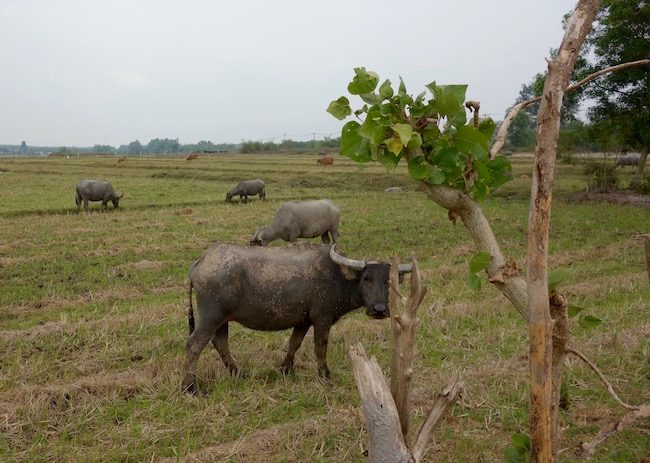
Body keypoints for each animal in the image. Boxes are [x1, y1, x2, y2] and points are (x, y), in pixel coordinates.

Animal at [180, 245, 410, 394]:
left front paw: (286, 369)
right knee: (194, 345)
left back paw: (237, 372)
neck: (337, 277)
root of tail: (200, 262)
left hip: (221, 320)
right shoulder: (322, 319)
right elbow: (320, 347)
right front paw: (325, 375)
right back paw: (190, 387)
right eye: (366, 279)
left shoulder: (303, 321)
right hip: (210, 317)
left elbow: (294, 343)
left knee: (220, 342)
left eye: (388, 280)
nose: (379, 309)